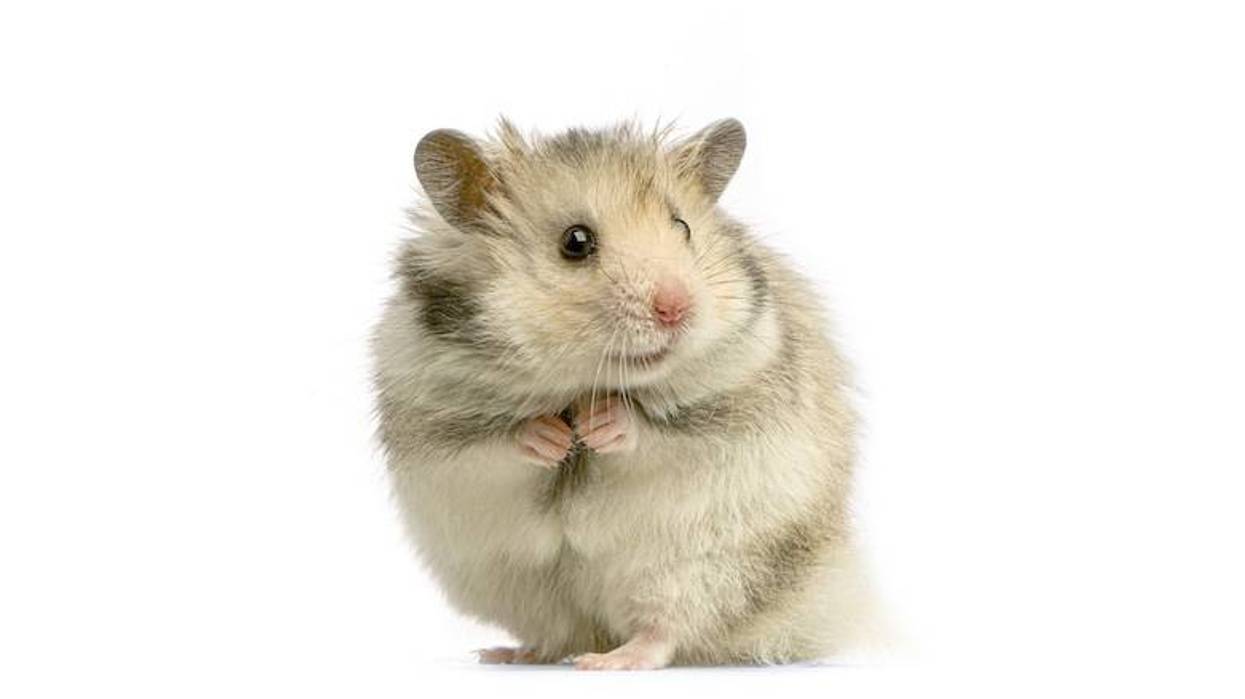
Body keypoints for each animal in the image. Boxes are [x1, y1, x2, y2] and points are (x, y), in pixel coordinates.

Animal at [372, 118, 871, 669]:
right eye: (576, 241)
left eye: (682, 227)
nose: (677, 308)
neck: (581, 384)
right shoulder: (433, 426)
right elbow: (495, 444)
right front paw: (552, 437)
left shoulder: (734, 403)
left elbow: (656, 434)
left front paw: (599, 425)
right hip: (518, 586)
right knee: (560, 634)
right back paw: (508, 653)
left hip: (700, 570)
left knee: (665, 631)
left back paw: (608, 661)